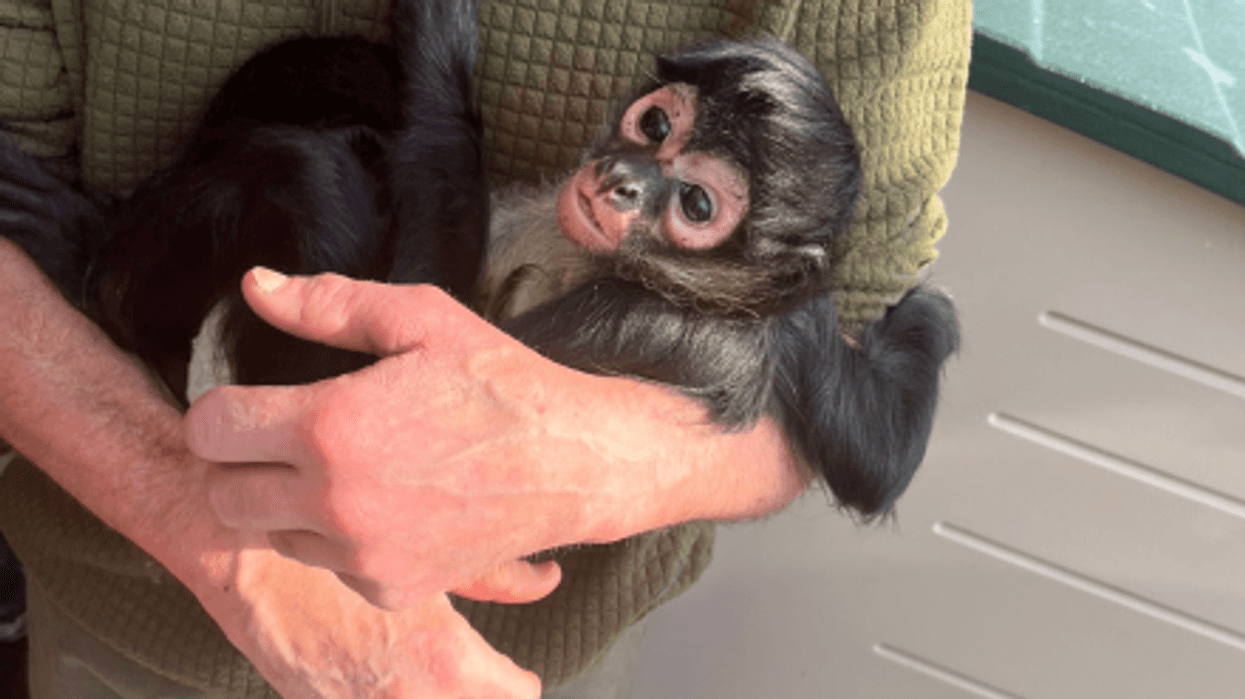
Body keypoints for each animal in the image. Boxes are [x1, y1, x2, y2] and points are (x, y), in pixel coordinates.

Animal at [0, 0, 958, 519]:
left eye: (693, 205)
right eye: (655, 123)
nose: (622, 182)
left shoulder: (675, 330)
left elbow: (362, 359)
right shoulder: (788, 323)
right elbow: (873, 449)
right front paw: (922, 323)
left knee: (302, 174)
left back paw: (89, 264)